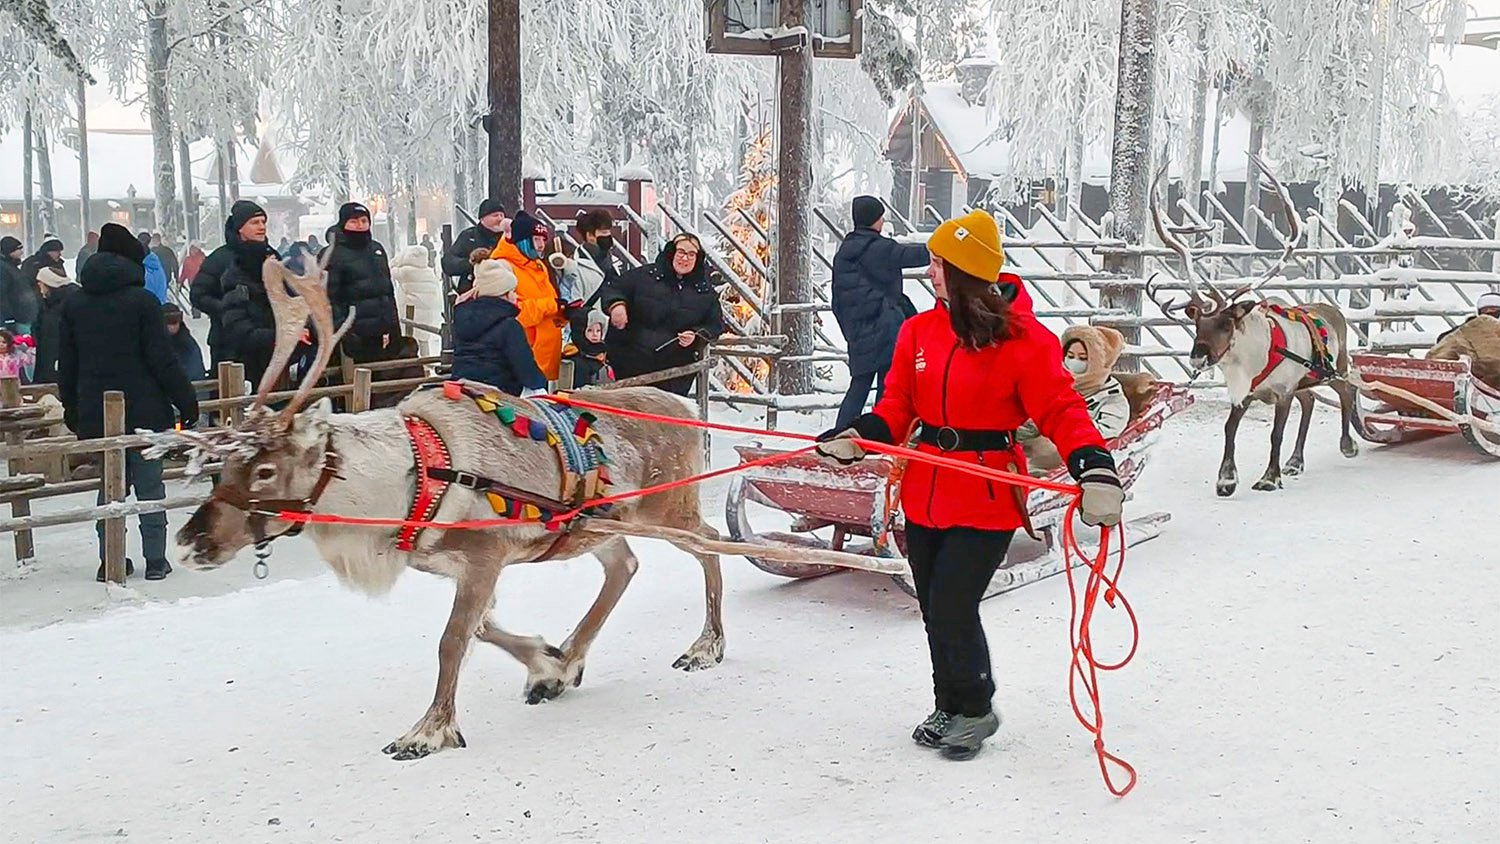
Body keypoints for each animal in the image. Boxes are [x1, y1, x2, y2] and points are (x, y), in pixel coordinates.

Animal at [165, 249, 728, 761]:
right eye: (223, 468)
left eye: (264, 471)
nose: (188, 543)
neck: (409, 478)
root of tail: (684, 407)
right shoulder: (451, 564)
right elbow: (484, 628)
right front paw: (547, 664)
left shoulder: (486, 557)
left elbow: (452, 640)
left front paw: (428, 731)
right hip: (595, 527)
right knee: (625, 566)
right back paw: (572, 659)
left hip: (668, 508)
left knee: (711, 542)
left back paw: (706, 646)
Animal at [1144, 155, 1359, 497]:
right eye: (1197, 325)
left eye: (1226, 323)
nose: (1197, 357)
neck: (1250, 362)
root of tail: (1333, 310)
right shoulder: (1245, 393)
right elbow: (1229, 428)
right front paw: (1226, 479)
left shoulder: (1283, 391)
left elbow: (1275, 434)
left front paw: (1269, 478)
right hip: (1306, 381)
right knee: (1310, 400)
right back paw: (1295, 461)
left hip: (1334, 367)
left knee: (1347, 390)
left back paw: (1347, 445)